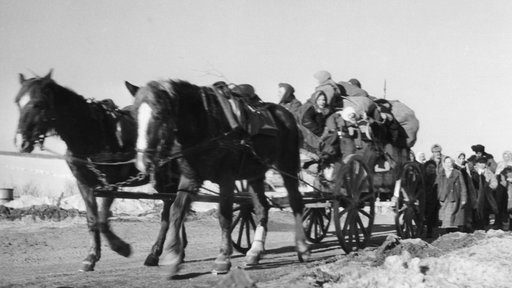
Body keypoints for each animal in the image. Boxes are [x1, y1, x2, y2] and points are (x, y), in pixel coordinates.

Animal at [13, 70, 186, 272]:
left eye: (39, 103)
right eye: (18, 102)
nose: (21, 142)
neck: (91, 132)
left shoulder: (111, 184)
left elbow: (103, 220)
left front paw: (121, 247)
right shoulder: (84, 184)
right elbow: (92, 219)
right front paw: (91, 257)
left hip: (166, 180)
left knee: (168, 214)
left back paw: (155, 254)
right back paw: (179, 251)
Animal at [127, 79, 312, 276]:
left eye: (159, 114)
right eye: (134, 115)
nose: (142, 161)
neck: (204, 124)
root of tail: (286, 114)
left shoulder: (226, 179)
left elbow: (224, 216)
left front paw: (223, 258)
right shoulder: (190, 179)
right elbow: (176, 212)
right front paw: (172, 257)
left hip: (287, 165)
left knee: (295, 202)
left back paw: (302, 248)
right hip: (255, 174)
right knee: (262, 208)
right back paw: (255, 252)